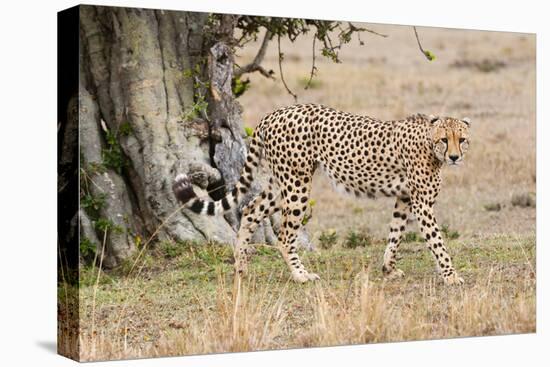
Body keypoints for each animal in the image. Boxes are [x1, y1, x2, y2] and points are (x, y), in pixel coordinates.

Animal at [175, 105, 472, 286]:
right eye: (444, 140)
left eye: (462, 139)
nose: (455, 157)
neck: (429, 143)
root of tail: (274, 113)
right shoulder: (422, 203)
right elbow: (437, 242)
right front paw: (451, 275)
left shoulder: (404, 198)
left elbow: (395, 235)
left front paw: (388, 269)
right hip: (297, 185)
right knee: (284, 236)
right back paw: (300, 275)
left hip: (281, 183)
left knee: (250, 210)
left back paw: (241, 267)